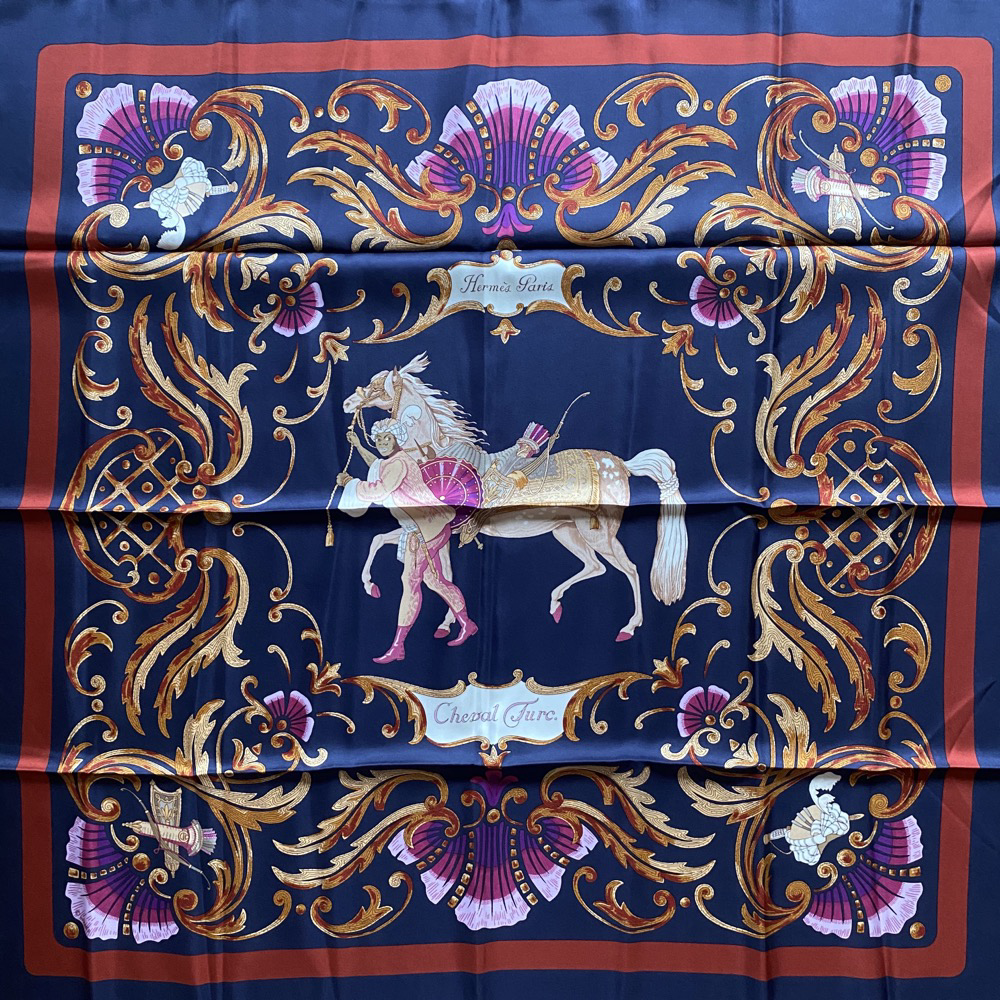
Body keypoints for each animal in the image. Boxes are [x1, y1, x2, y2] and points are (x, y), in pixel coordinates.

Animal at [342, 353, 687, 641]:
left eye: (377, 384)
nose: (347, 402)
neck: (440, 455)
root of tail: (621, 464)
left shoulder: (436, 529)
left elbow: (425, 565)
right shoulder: (434, 532)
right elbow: (406, 553)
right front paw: (445, 622)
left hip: (599, 533)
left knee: (629, 568)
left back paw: (628, 627)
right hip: (567, 532)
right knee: (596, 567)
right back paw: (555, 604)